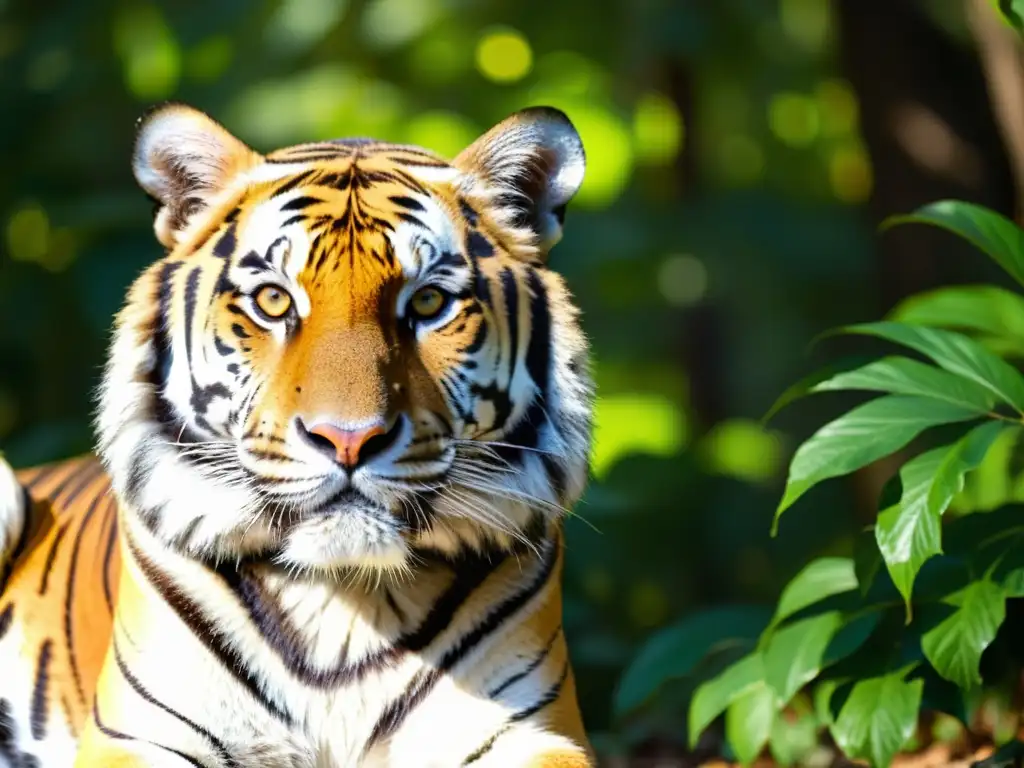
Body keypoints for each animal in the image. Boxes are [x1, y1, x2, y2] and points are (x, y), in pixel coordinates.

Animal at [0, 100, 598, 765]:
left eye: (428, 303)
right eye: (272, 300)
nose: (348, 439)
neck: (345, 602)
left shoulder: (533, 730)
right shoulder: (135, 737)